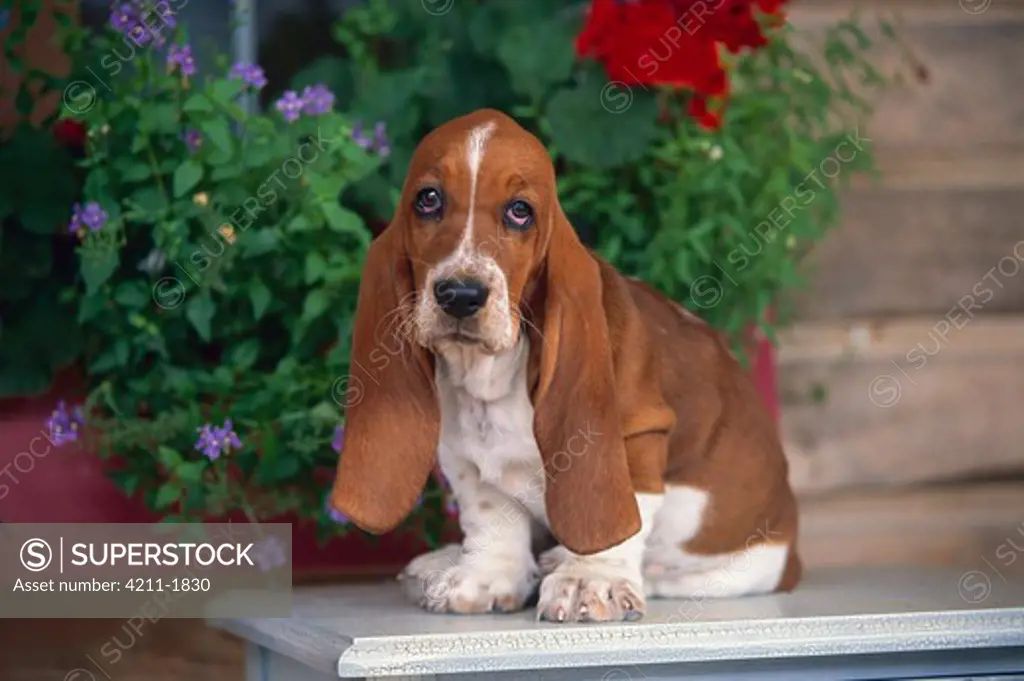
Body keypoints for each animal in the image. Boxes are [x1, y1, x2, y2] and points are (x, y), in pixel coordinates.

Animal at [331, 107, 802, 622]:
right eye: (428, 199)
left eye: (520, 210)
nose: (460, 294)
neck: (491, 376)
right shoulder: (464, 456)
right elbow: (490, 515)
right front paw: (485, 576)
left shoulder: (635, 436)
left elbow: (616, 524)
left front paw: (587, 581)